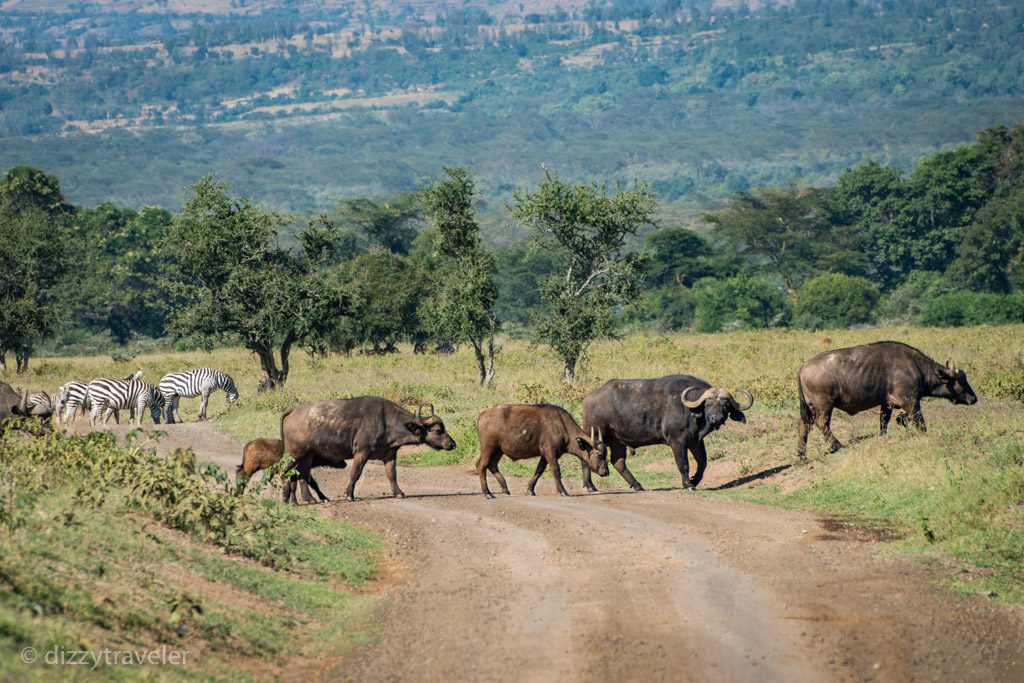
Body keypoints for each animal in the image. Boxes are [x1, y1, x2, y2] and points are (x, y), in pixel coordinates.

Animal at [280, 397, 456, 505]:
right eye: (438, 430)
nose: (452, 444)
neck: (387, 421)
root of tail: (294, 411)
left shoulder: (390, 454)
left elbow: (392, 475)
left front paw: (399, 493)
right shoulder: (361, 452)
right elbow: (355, 473)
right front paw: (349, 495)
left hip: (307, 456)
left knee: (302, 475)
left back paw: (309, 499)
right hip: (294, 454)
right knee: (285, 471)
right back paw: (287, 497)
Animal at [473, 403, 606, 499]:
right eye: (600, 455)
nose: (606, 472)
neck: (562, 426)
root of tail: (483, 414)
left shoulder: (545, 455)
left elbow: (539, 470)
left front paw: (530, 490)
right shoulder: (550, 452)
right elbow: (555, 470)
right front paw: (563, 491)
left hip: (498, 450)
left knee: (492, 464)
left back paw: (505, 488)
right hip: (488, 448)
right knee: (481, 465)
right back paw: (488, 493)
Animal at [585, 374, 753, 491]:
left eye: (725, 405)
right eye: (708, 404)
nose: (716, 418)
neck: (690, 411)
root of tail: (589, 398)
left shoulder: (695, 441)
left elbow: (702, 463)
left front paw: (694, 480)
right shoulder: (677, 442)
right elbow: (683, 463)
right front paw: (688, 484)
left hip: (617, 441)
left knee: (618, 462)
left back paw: (637, 485)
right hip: (594, 435)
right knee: (586, 456)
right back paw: (589, 486)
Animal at [798, 342, 974, 458]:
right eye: (960, 381)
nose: (974, 398)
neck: (916, 367)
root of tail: (803, 367)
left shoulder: (887, 404)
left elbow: (885, 421)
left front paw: (883, 437)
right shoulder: (910, 402)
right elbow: (920, 423)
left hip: (809, 410)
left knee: (804, 427)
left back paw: (801, 455)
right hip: (824, 407)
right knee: (822, 424)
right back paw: (838, 446)